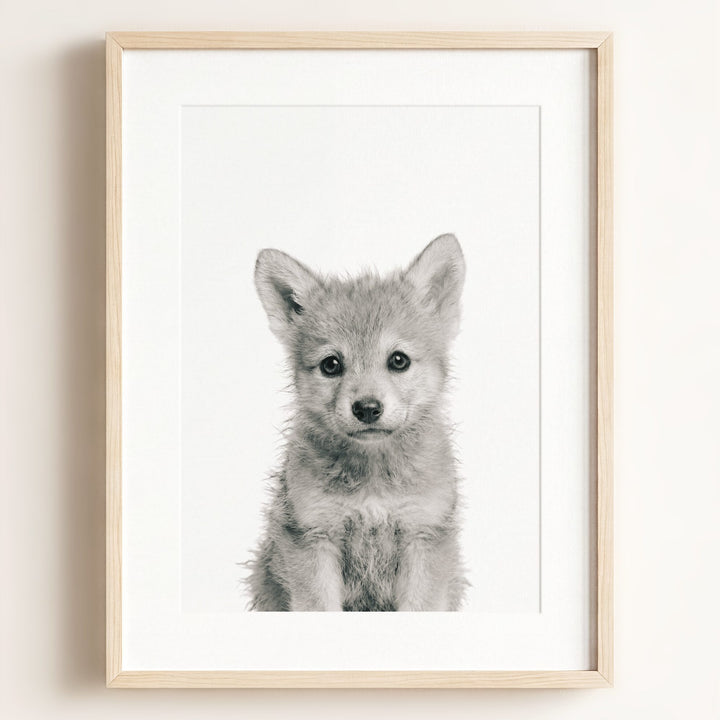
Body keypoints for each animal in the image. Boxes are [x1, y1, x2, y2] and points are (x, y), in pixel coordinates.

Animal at [246, 233, 467, 611]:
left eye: (398, 360)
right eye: (331, 365)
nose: (366, 408)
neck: (373, 480)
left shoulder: (423, 535)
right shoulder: (313, 538)